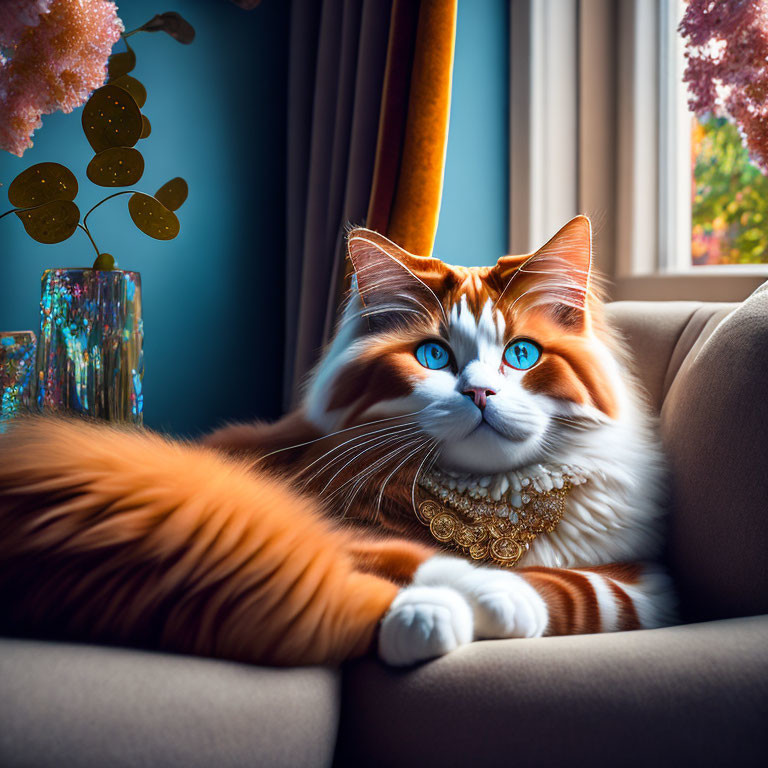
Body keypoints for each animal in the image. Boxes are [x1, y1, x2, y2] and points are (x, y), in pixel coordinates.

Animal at [0, 214, 672, 664]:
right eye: (433, 356)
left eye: (522, 355)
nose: (480, 393)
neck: (493, 504)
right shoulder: (322, 512)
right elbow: (405, 557)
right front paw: (468, 602)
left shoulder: (646, 577)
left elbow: (588, 591)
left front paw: (500, 600)